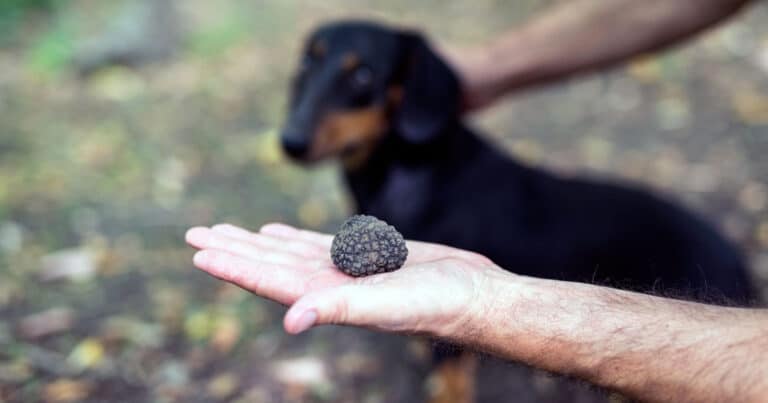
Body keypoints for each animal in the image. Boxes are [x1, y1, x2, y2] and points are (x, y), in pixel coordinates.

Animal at [280, 21, 752, 403]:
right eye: (305, 64)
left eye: (362, 74)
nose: (290, 141)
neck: (412, 170)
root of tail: (740, 262)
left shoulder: (450, 351)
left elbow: (450, 381)